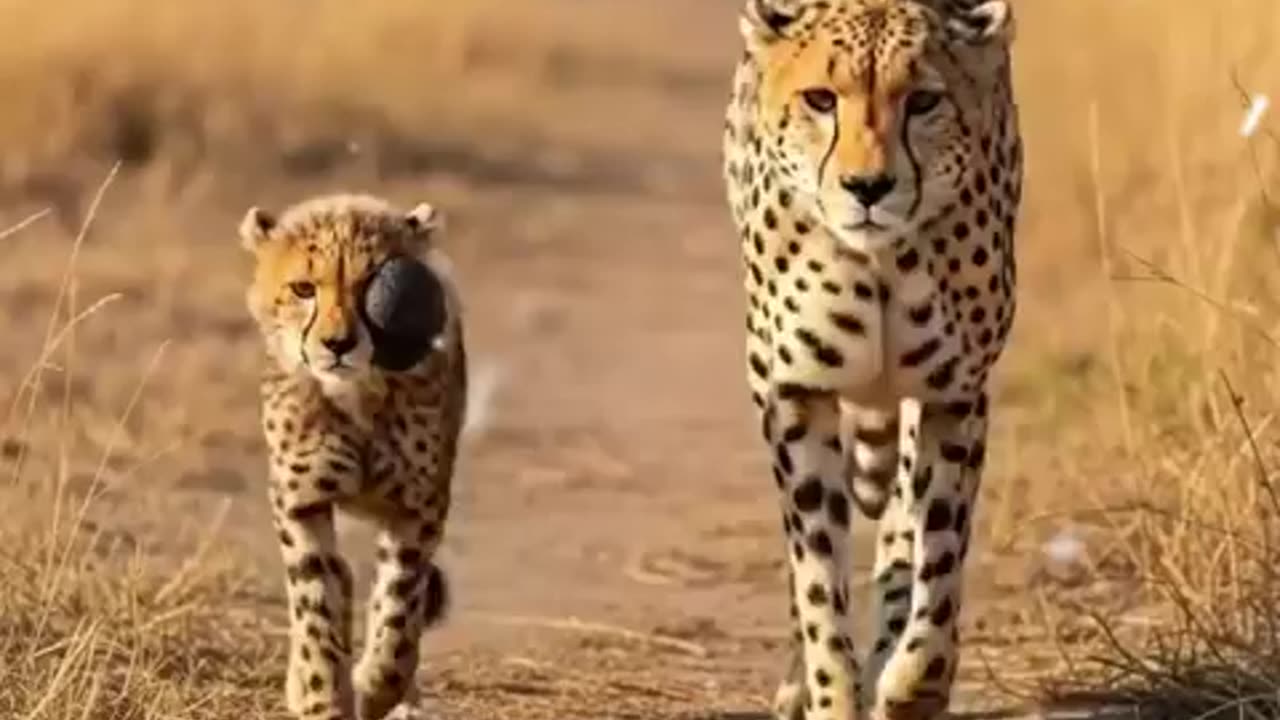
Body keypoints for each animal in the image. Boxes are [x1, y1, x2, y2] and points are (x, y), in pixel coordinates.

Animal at [239, 193, 468, 720]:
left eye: (371, 286)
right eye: (303, 288)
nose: (338, 344)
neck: (356, 393)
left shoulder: (417, 506)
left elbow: (399, 609)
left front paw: (377, 687)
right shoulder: (301, 501)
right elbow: (315, 604)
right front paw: (320, 695)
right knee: (340, 579)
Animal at [721, 0, 1023, 718]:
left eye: (924, 101)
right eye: (820, 99)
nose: (868, 187)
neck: (882, 259)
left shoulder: (952, 395)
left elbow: (938, 559)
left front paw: (912, 684)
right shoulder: (794, 394)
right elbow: (817, 581)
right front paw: (830, 692)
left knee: (898, 529)